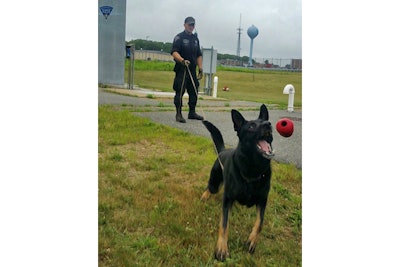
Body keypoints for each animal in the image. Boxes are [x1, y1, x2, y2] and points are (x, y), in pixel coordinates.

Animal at [202, 104, 274, 262]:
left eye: (265, 121)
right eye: (252, 126)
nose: (269, 124)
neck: (253, 169)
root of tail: (222, 150)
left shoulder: (263, 200)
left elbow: (260, 222)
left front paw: (252, 240)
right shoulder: (227, 199)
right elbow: (224, 224)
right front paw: (222, 248)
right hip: (215, 183)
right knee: (210, 187)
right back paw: (205, 195)